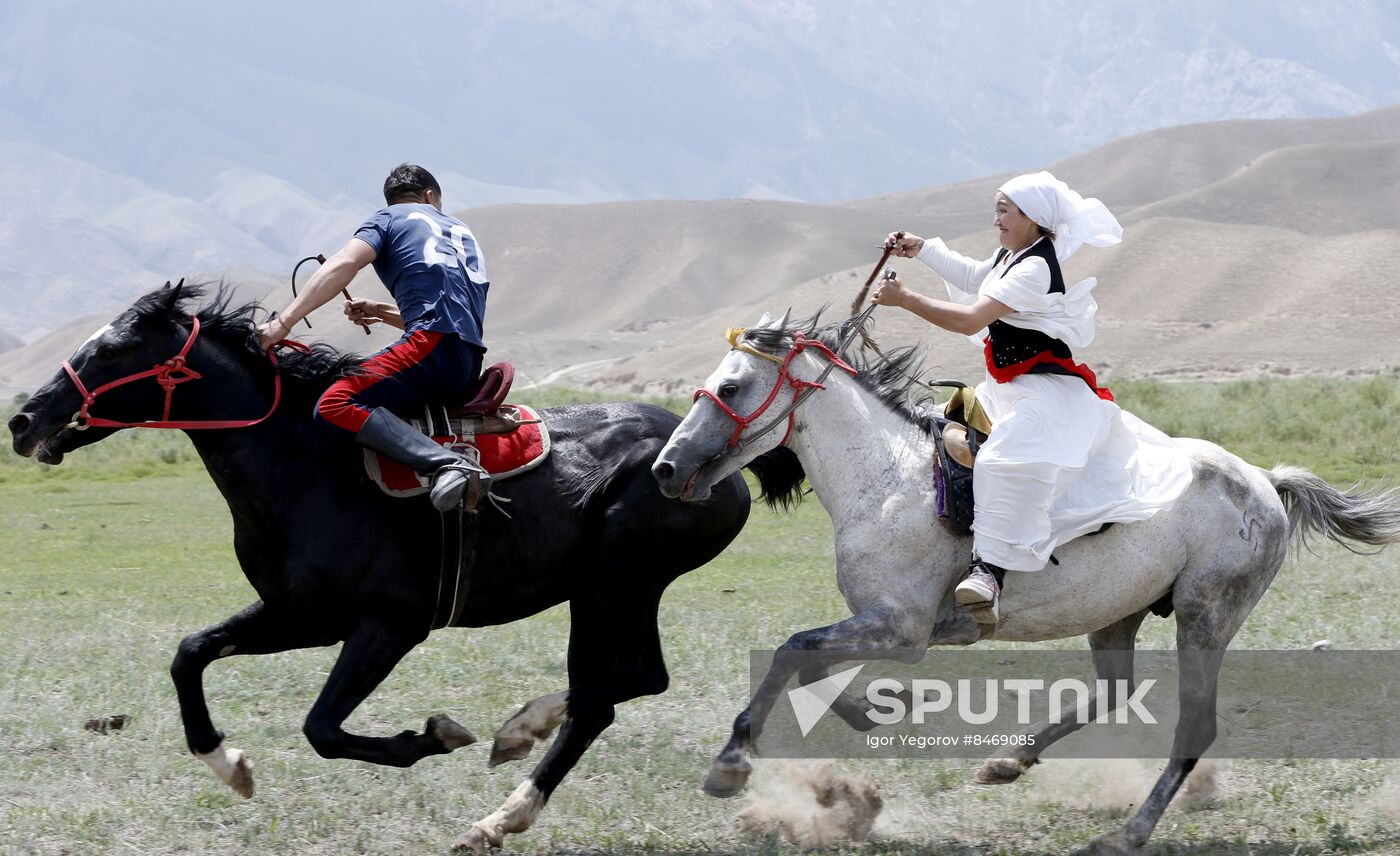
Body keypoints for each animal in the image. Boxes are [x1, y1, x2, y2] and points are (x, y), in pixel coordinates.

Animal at [5, 284, 784, 851]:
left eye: (112, 349)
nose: (23, 420)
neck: (309, 465)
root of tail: (714, 454)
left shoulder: (389, 625)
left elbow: (322, 728)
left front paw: (431, 737)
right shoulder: (300, 616)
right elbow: (190, 653)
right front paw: (229, 765)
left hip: (614, 586)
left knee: (608, 692)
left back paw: (504, 800)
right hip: (604, 592)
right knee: (619, 686)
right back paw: (519, 750)